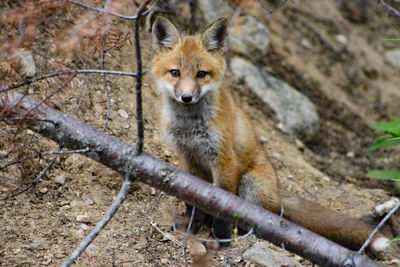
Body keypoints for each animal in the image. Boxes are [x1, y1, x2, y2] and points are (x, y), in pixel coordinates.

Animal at [150, 16, 390, 255]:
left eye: (201, 74)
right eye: (175, 72)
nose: (186, 97)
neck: (190, 125)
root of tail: (277, 192)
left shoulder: (224, 160)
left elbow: (222, 206)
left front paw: (222, 238)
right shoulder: (187, 158)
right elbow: (192, 203)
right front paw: (190, 226)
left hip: (250, 184)